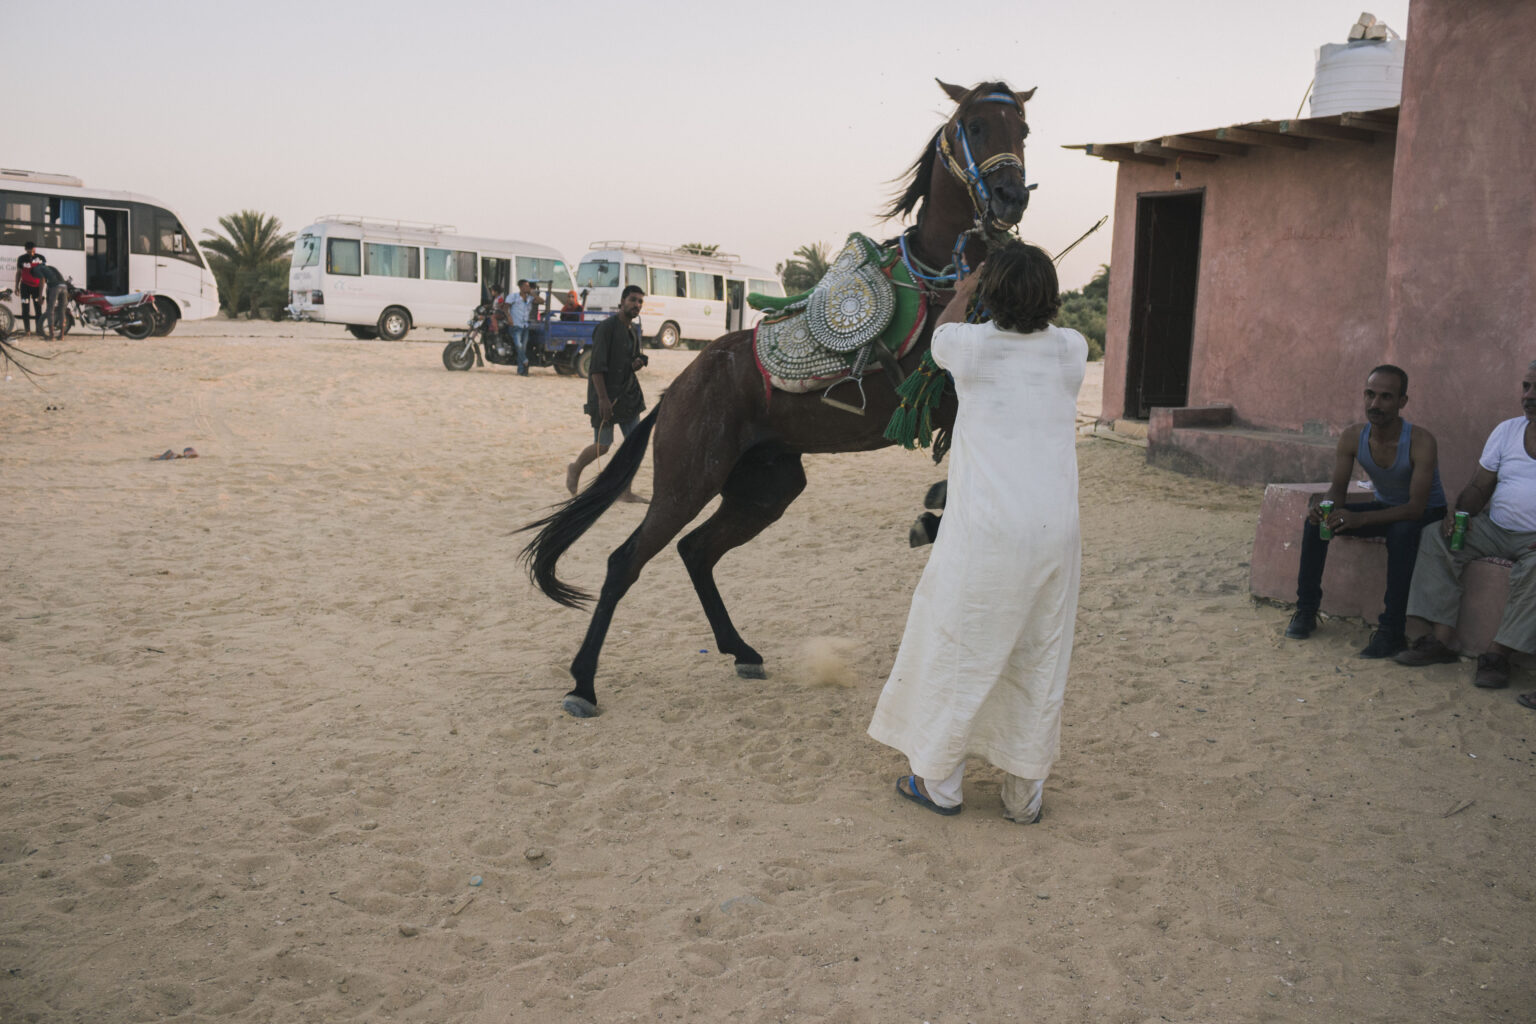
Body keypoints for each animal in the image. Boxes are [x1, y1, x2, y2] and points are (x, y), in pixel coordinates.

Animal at [521, 79, 1036, 718]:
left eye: (1024, 128)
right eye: (977, 124)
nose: (1010, 197)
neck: (942, 279)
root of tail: (677, 389)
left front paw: (933, 515)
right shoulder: (951, 397)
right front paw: (928, 518)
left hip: (767, 487)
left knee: (696, 550)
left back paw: (740, 650)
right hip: (690, 481)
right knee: (626, 561)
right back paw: (583, 683)